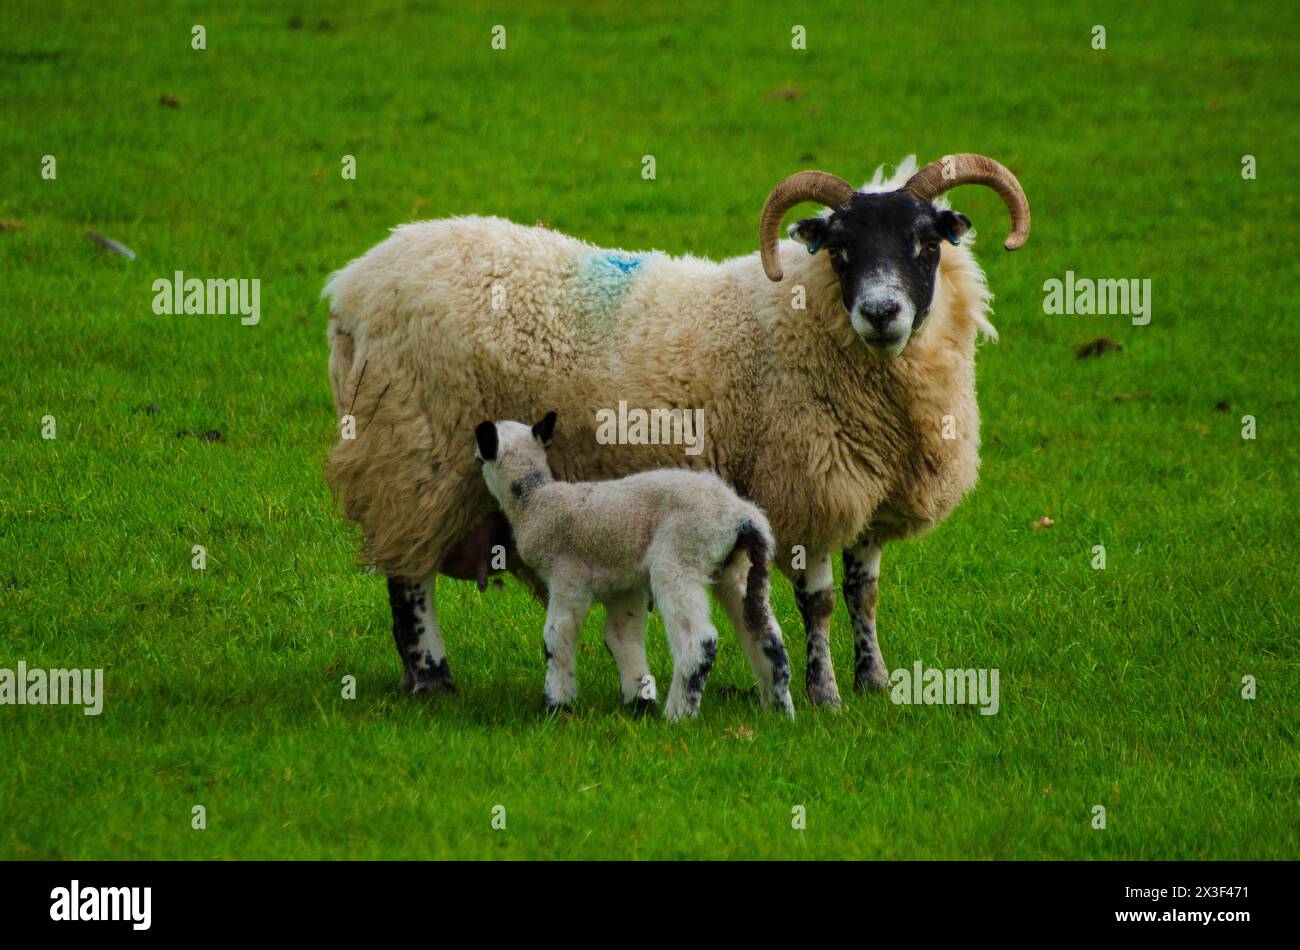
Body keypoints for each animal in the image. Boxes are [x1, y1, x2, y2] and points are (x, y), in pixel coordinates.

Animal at [473, 411, 796, 720]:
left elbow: (557, 638)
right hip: (736, 568)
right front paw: (639, 703)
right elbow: (621, 637)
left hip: (680, 556)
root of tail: (743, 517)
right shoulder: (623, 585)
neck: (534, 500)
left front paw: (556, 705)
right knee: (767, 636)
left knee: (699, 641)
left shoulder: (568, 576)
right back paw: (778, 712)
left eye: (479, 456)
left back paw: (679, 715)